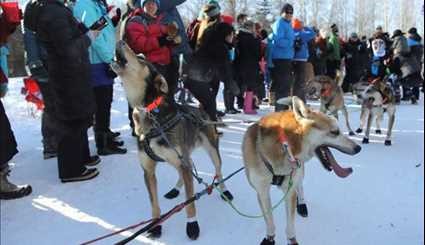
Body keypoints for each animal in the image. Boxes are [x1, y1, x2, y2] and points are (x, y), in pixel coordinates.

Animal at [243, 96, 360, 245]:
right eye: (335, 132)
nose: (358, 148)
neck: (285, 143)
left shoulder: (289, 190)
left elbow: (290, 225)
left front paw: (292, 240)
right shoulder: (262, 192)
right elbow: (269, 221)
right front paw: (270, 238)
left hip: (299, 173)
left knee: (300, 186)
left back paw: (302, 204)